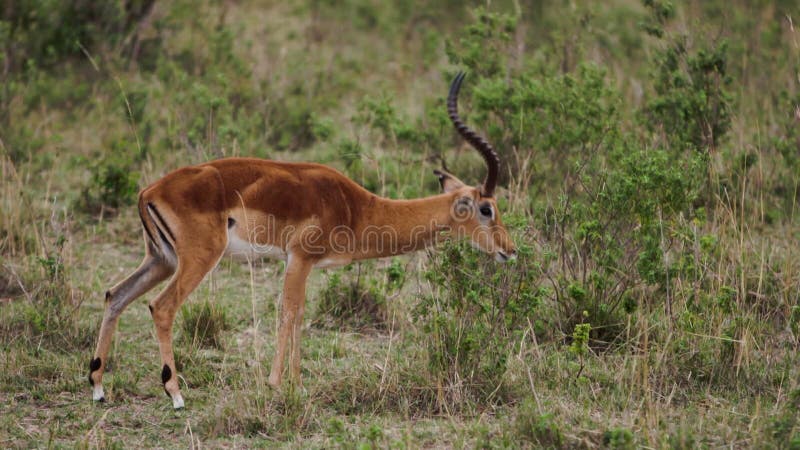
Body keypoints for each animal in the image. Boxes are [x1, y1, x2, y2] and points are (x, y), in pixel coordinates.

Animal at [89, 73, 520, 408]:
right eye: (487, 209)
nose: (509, 251)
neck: (356, 207)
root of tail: (149, 190)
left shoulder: (302, 263)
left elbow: (299, 316)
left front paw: (297, 384)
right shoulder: (298, 258)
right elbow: (288, 313)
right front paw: (277, 384)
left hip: (161, 259)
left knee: (116, 295)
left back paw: (97, 387)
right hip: (197, 259)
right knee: (160, 308)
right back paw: (176, 394)